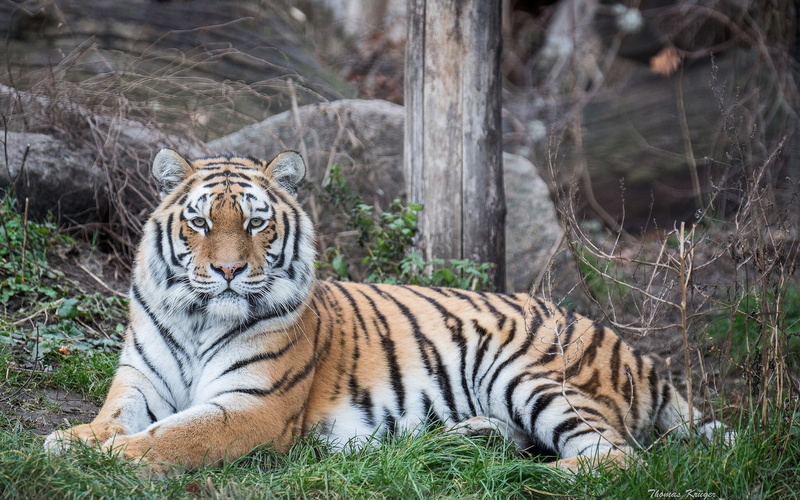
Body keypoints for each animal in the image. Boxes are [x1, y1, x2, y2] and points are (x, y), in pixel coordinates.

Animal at [44, 149, 731, 477]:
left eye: (257, 224)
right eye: (201, 223)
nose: (229, 272)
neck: (196, 317)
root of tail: (633, 349)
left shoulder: (253, 405)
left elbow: (180, 435)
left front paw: (114, 458)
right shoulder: (142, 381)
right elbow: (111, 418)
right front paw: (69, 441)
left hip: (531, 373)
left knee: (617, 460)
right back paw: (453, 438)